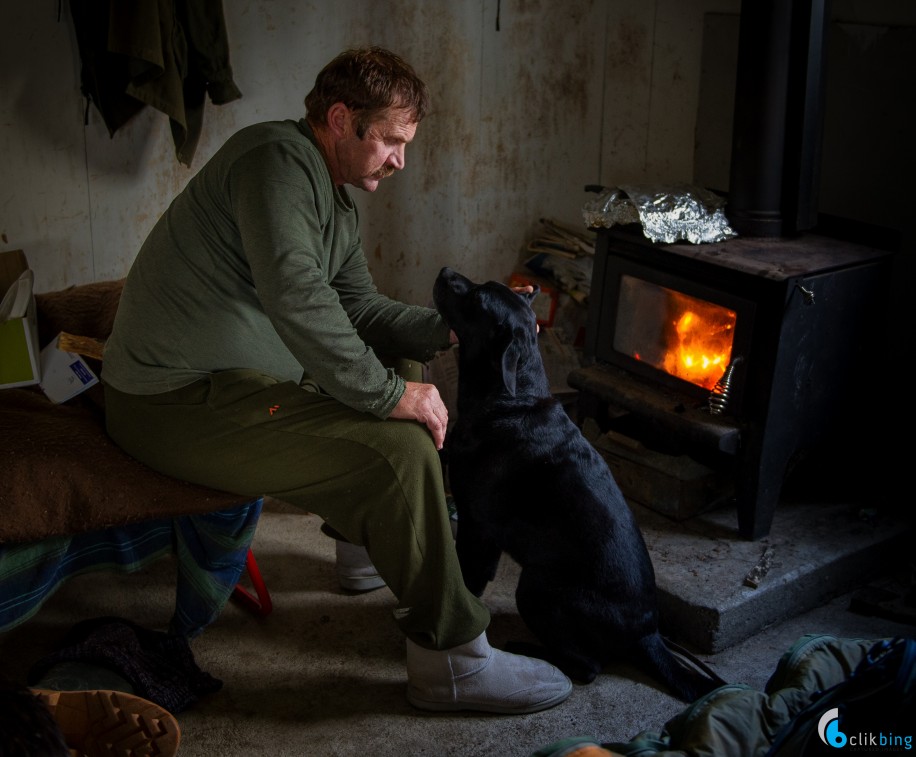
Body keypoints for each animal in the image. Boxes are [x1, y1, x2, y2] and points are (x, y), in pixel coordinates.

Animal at [432, 268, 728, 704]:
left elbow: (468, 581)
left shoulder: (477, 527)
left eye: (476, 299)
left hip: (536, 587)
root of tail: (647, 636)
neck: (510, 398)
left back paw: (531, 651)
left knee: (587, 668)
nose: (445, 272)